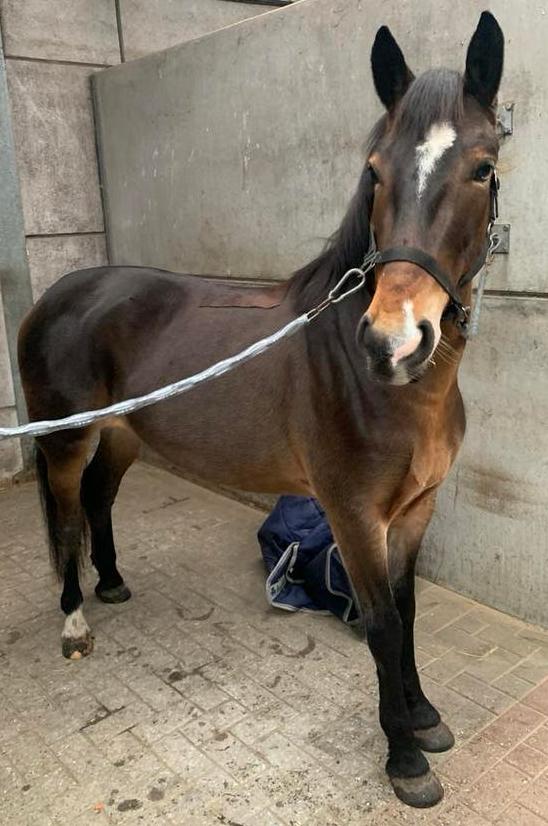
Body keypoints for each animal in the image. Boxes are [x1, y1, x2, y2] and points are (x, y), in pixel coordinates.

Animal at [17, 11, 504, 808]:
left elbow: (407, 616)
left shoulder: (413, 511)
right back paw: (75, 623)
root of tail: (59, 293)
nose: (394, 341)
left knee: (98, 500)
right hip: (65, 440)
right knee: (64, 518)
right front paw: (406, 759)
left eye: (483, 168)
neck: (387, 386)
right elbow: (380, 625)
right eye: (374, 172)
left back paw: (112, 584)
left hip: (124, 435)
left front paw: (426, 717)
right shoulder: (352, 516)